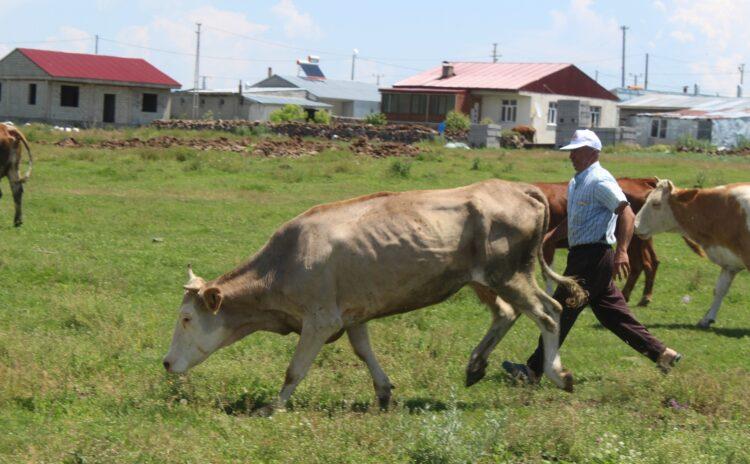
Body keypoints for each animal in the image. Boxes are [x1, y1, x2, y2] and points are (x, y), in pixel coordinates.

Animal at [163, 179, 588, 412]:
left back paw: (558, 374)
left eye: (186, 318)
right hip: (484, 279)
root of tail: (519, 187)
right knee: (505, 313)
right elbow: (363, 351)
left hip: (510, 274)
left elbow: (294, 369)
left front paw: (274, 406)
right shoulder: (353, 315)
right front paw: (383, 393)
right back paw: (475, 366)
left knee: (548, 311)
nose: (166, 363)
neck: (280, 266)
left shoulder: (320, 320)